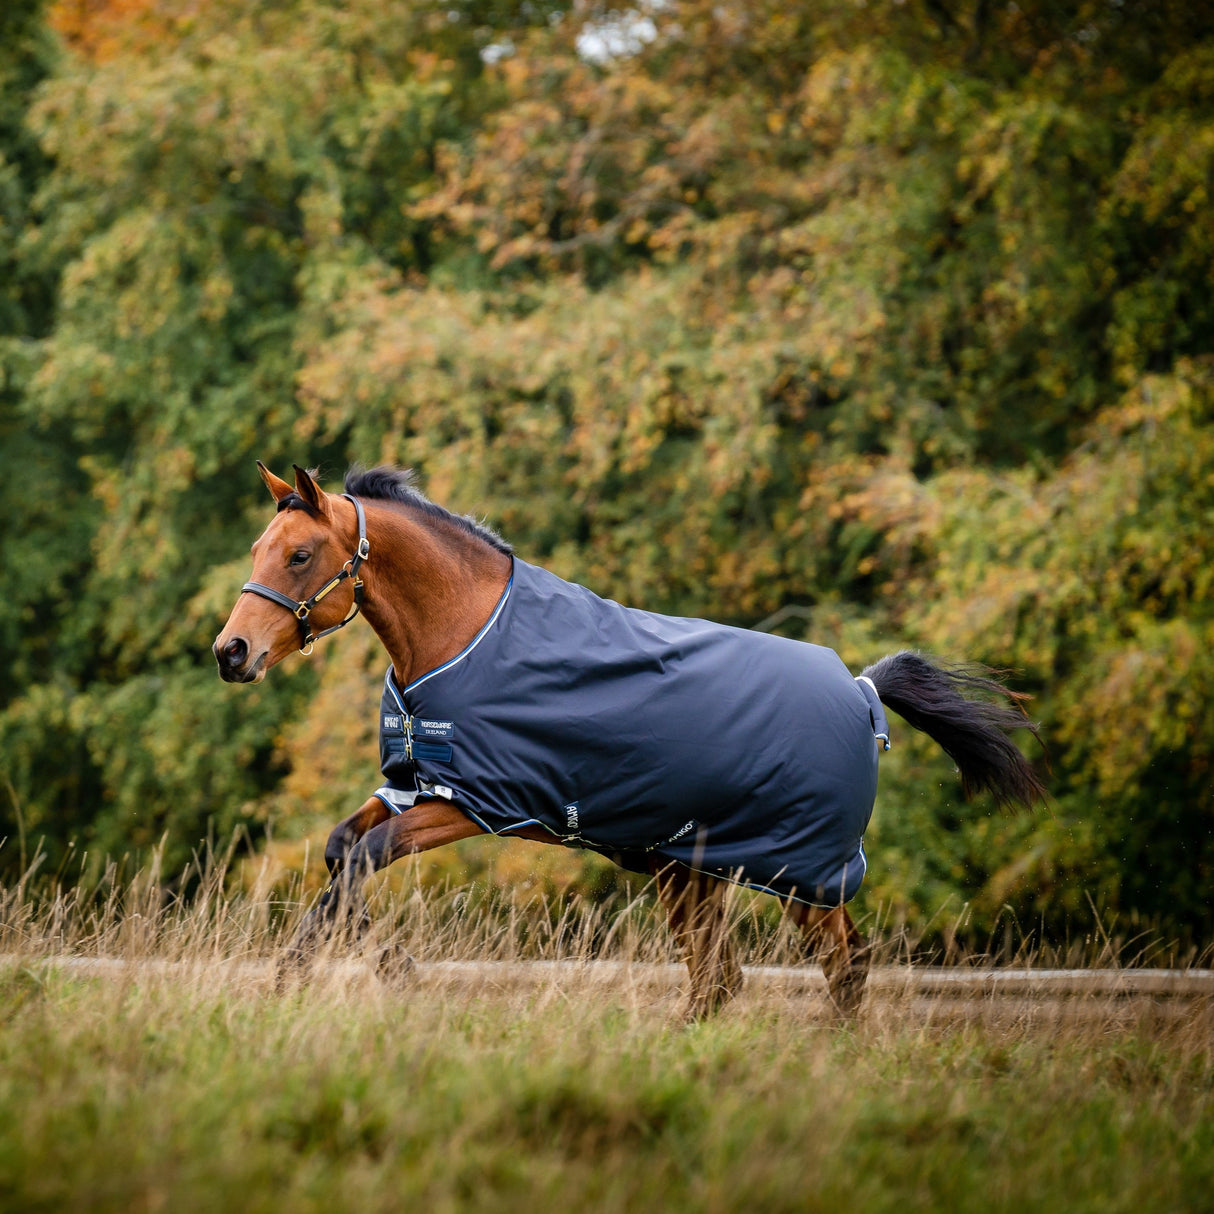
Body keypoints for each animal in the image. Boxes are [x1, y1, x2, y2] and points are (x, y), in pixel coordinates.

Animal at [211, 461, 1044, 1014]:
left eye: (299, 554)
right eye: (256, 547)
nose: (231, 653)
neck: (466, 633)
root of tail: (864, 691)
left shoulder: (480, 804)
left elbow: (366, 857)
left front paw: (389, 971)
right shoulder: (413, 786)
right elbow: (340, 851)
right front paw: (311, 976)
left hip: (804, 874)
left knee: (841, 970)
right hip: (694, 872)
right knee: (722, 981)